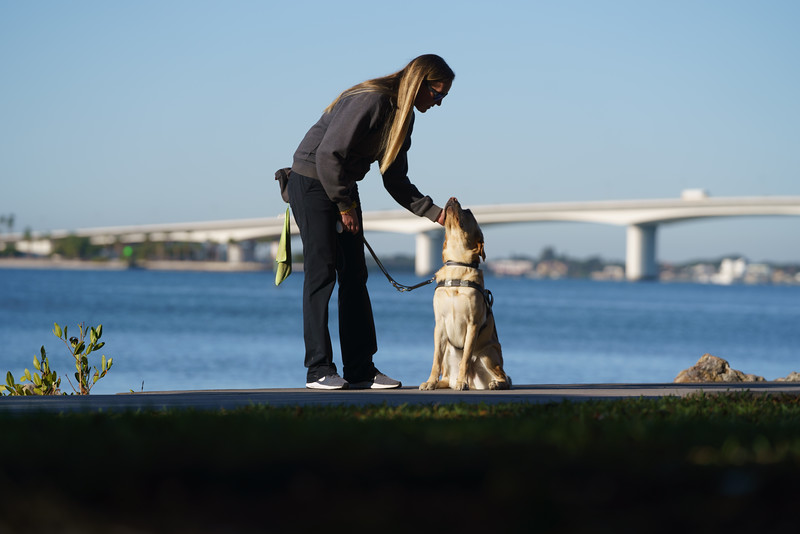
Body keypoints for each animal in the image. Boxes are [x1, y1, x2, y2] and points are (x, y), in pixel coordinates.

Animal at [422, 199, 510, 392]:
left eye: (468, 211)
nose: (453, 198)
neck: (458, 264)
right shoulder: (439, 324)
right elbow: (435, 359)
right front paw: (430, 381)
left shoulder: (473, 324)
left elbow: (466, 358)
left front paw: (462, 382)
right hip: (448, 350)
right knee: (446, 376)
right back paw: (441, 382)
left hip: (488, 353)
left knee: (506, 378)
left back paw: (493, 383)